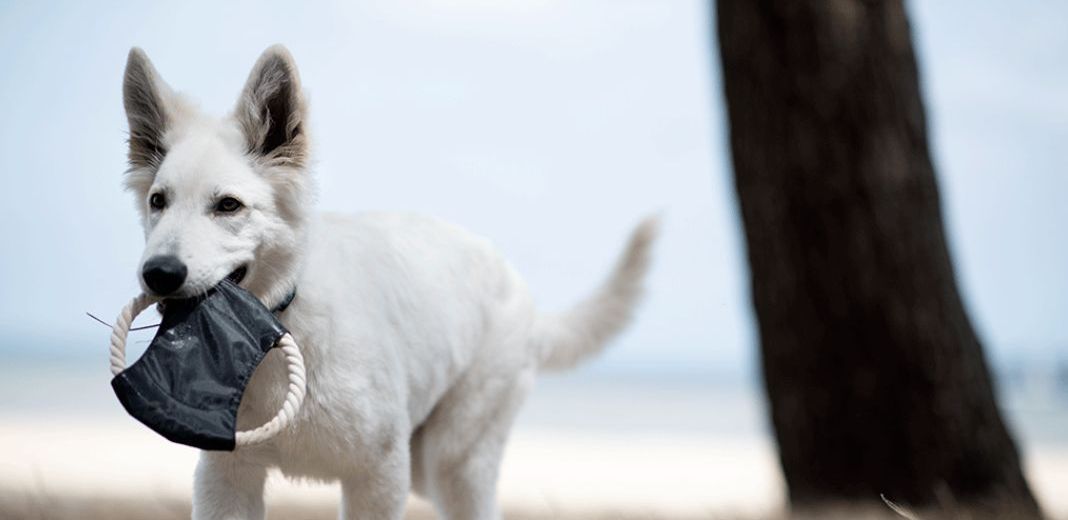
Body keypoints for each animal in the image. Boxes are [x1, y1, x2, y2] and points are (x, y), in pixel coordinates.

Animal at [119, 45, 649, 520]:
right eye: (158, 201)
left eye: (228, 205)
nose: (159, 273)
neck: (280, 329)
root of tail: (522, 292)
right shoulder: (227, 479)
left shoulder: (378, 477)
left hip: (451, 463)